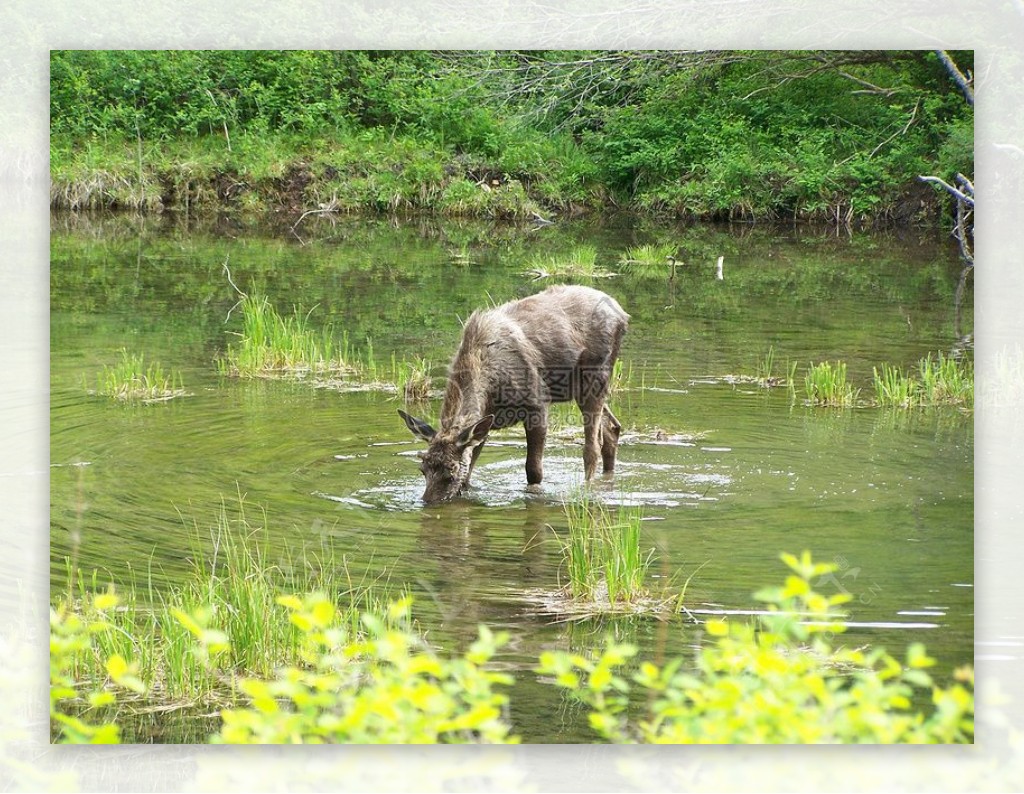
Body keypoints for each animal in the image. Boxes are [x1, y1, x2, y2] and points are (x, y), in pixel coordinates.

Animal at [397, 284, 622, 504]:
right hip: (581, 388)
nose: (427, 502)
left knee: (592, 447)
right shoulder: (484, 424)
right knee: (612, 428)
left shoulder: (538, 404)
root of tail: (622, 314)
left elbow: (533, 470)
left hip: (594, 379)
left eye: (450, 472)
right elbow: (469, 473)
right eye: (422, 469)